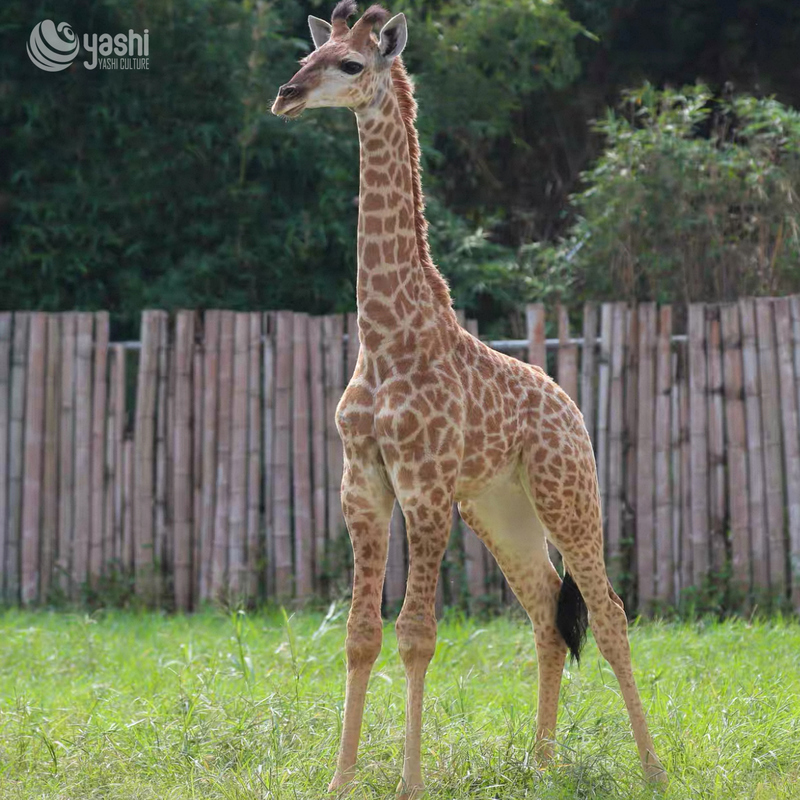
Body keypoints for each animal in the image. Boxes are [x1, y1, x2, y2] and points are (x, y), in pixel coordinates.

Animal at [272, 3, 667, 797]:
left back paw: (652, 768)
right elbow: (360, 634)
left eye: (350, 64)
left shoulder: (424, 487)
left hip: (567, 491)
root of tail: (570, 404)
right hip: (500, 507)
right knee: (547, 611)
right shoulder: (362, 484)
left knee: (608, 612)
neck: (386, 335)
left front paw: (408, 782)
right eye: (308, 55)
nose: (286, 95)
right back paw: (540, 765)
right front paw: (340, 779)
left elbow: (416, 635)